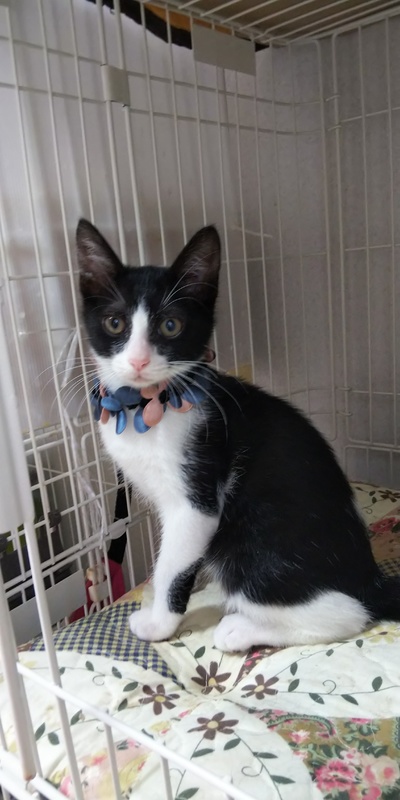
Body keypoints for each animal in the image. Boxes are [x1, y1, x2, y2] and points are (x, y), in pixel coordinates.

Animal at [76, 219, 400, 651]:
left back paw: (239, 629)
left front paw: (159, 624)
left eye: (170, 325)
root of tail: (370, 580)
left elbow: (170, 567)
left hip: (251, 539)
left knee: (346, 613)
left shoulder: (196, 501)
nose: (139, 361)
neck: (146, 407)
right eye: (115, 323)